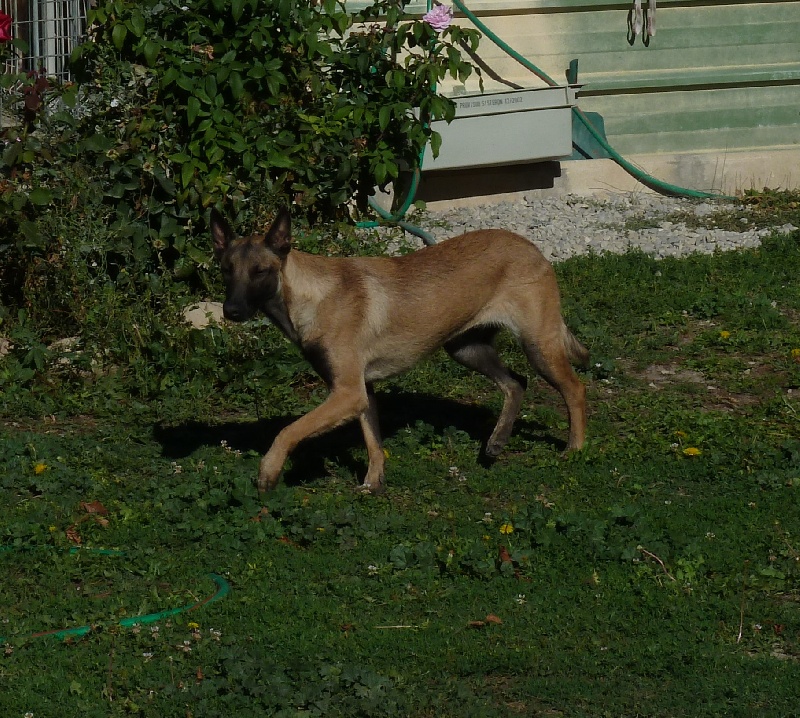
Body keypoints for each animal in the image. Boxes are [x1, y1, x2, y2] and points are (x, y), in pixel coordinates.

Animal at [211, 208, 588, 496]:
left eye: (260, 271)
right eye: (226, 271)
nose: (231, 311)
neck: (310, 295)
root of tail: (532, 247)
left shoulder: (347, 393)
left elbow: (288, 430)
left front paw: (268, 471)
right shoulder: (361, 393)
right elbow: (373, 441)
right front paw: (373, 483)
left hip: (538, 346)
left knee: (574, 389)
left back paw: (575, 449)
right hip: (466, 348)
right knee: (515, 383)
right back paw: (497, 441)